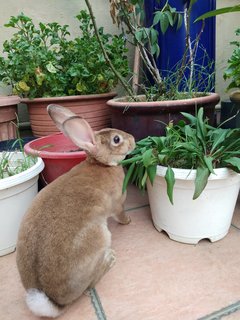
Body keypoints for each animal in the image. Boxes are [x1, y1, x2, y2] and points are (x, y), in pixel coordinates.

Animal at [16, 105, 135, 318]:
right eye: (116, 139)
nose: (133, 140)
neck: (101, 164)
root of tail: (51, 300)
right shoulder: (118, 203)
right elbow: (120, 214)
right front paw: (128, 221)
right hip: (101, 237)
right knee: (91, 283)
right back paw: (110, 260)